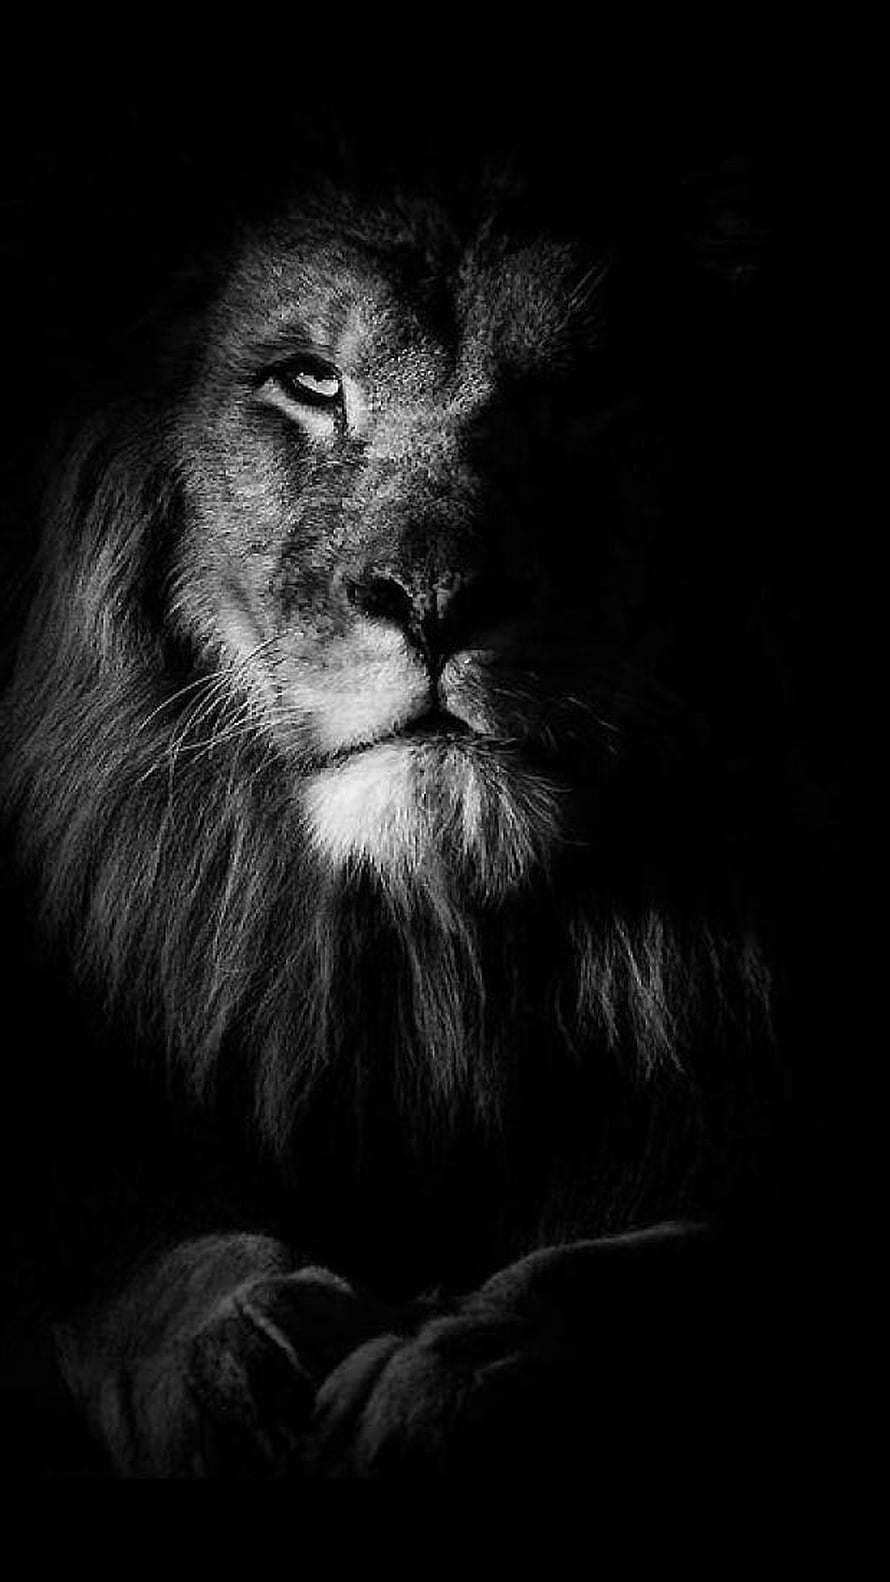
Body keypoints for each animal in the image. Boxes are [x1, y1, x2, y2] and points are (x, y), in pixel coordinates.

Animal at [2, 179, 794, 1479]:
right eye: (311, 381)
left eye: (582, 395)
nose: (432, 598)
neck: (431, 957)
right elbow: (144, 1256)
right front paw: (231, 1350)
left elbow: (639, 1270)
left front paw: (455, 1372)